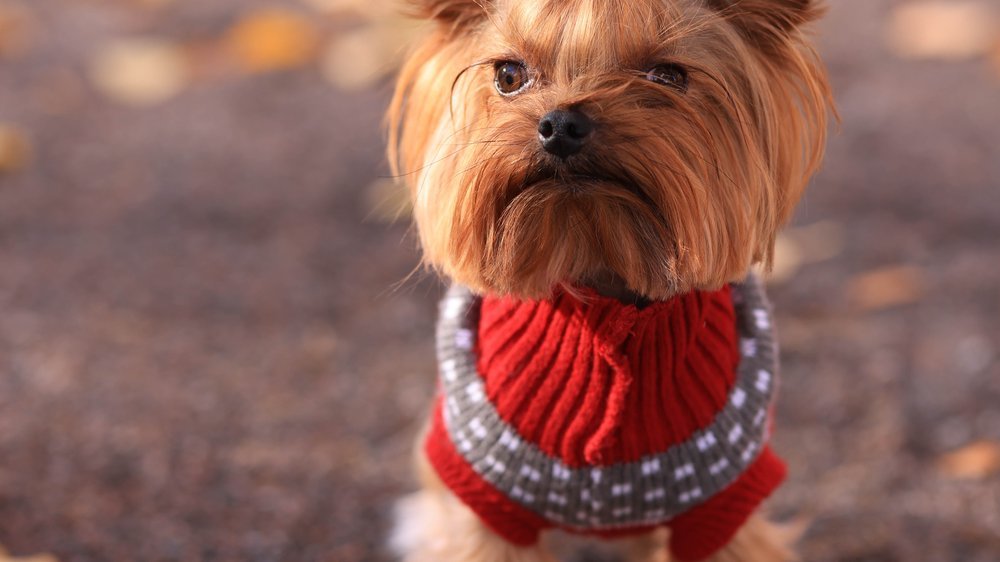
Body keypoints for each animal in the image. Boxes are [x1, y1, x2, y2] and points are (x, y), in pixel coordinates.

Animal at [386, 2, 832, 556]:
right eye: (509, 76)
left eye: (668, 75)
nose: (560, 124)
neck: (598, 270)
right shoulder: (485, 505)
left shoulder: (722, 506)